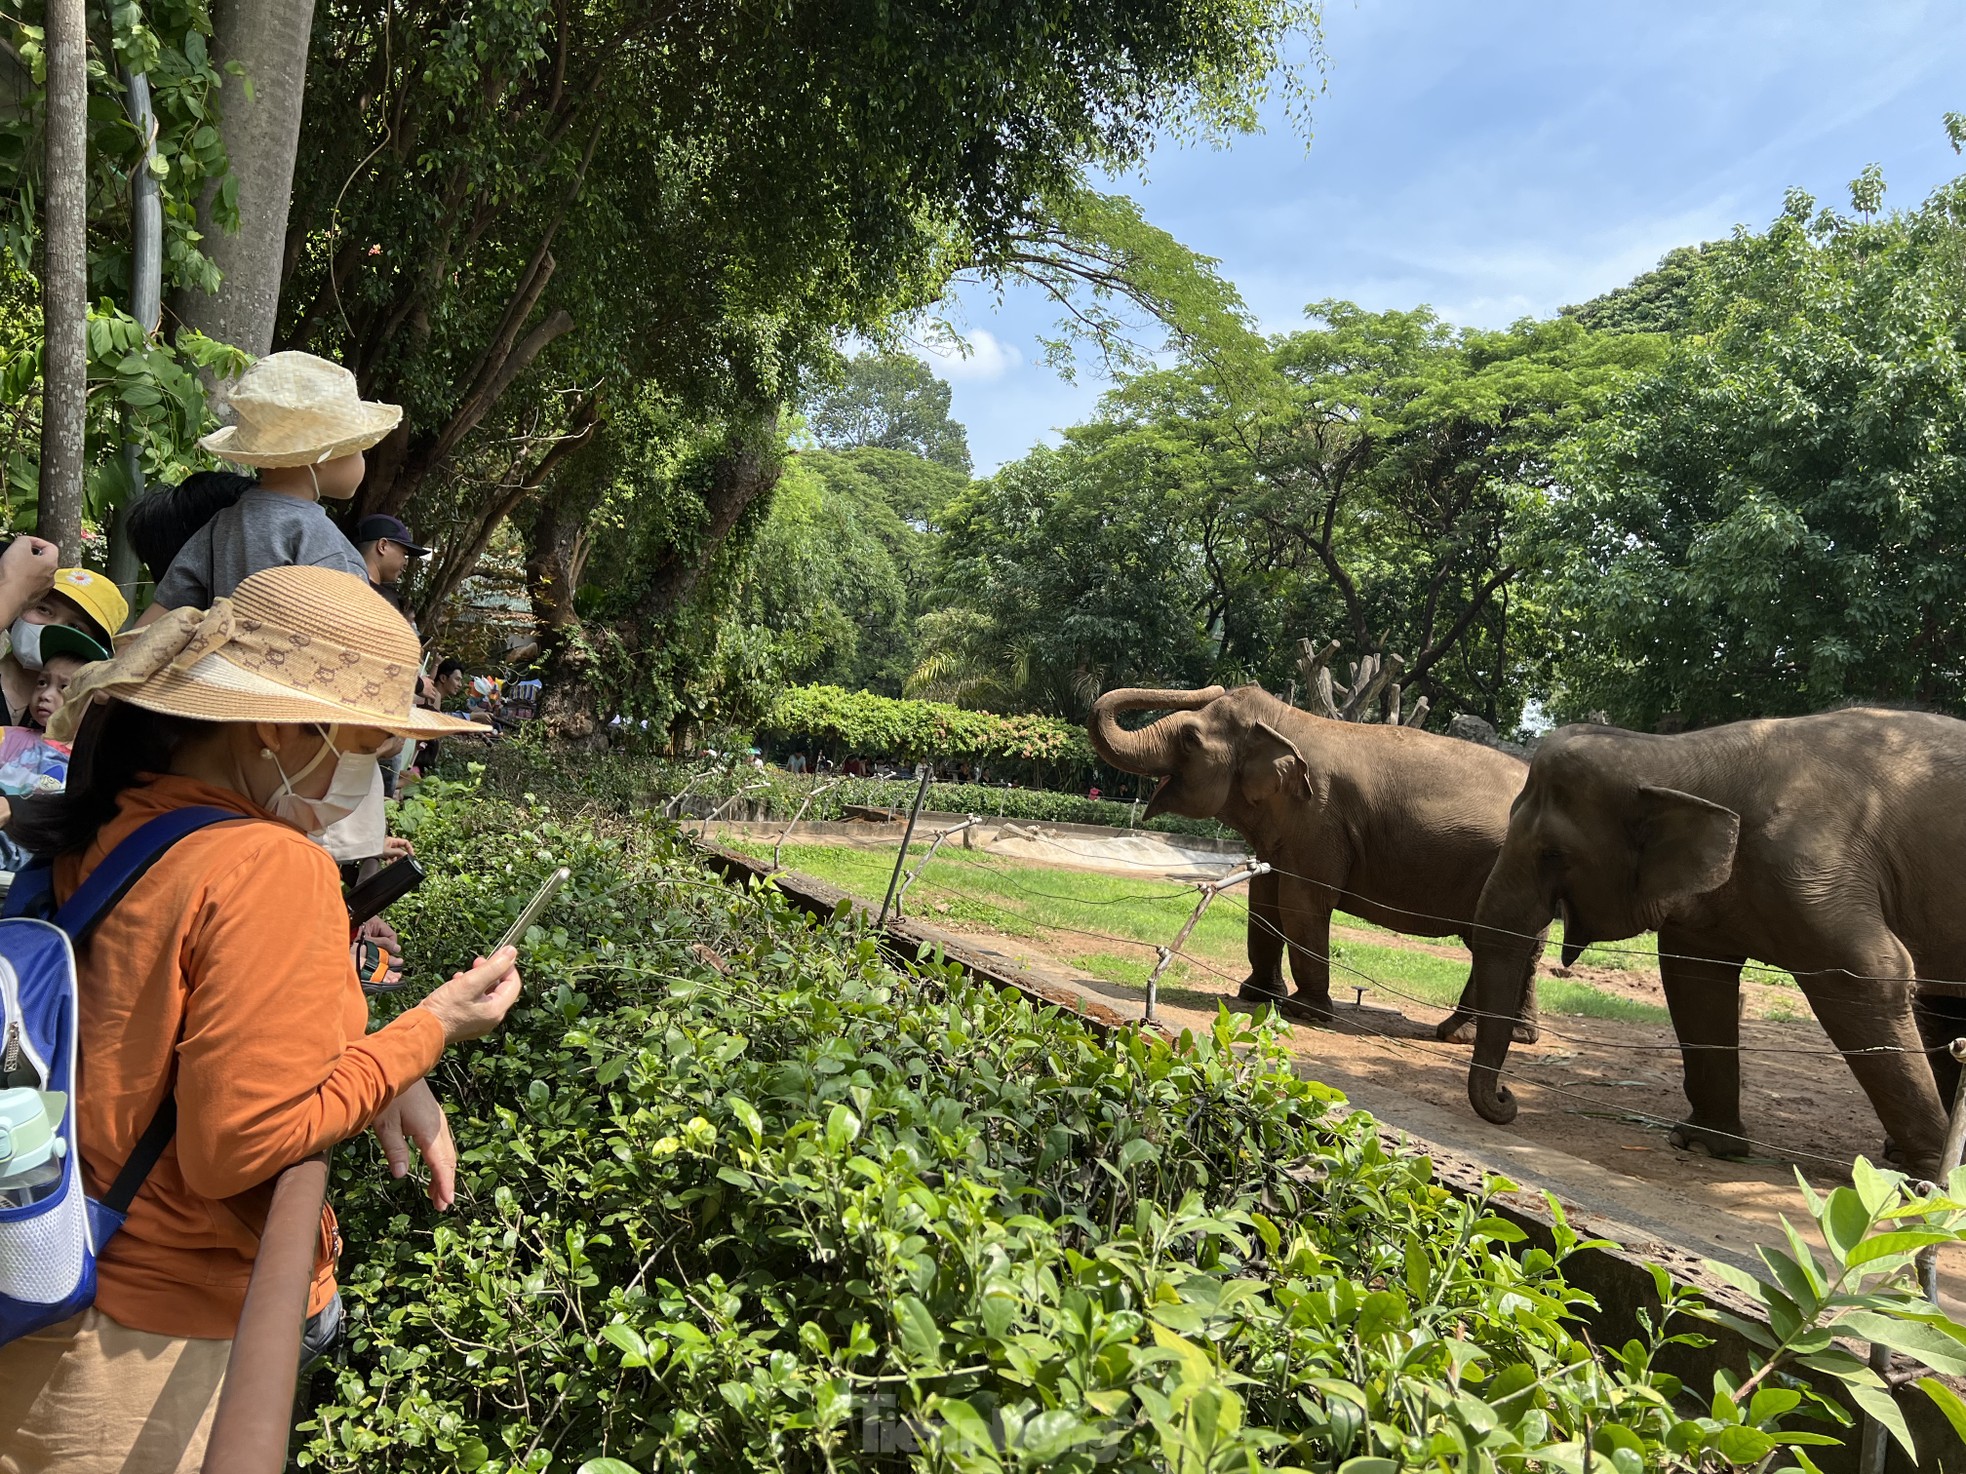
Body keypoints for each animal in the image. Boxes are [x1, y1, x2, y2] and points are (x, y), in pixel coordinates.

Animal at [1093, 683, 1533, 1037]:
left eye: (1188, 738)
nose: (1214, 685)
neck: (1288, 721)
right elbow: (1264, 898)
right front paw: (1256, 995)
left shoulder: (1319, 817)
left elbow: (1300, 902)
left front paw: (1304, 1012)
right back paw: (1518, 1035)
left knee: (1489, 941)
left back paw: (1457, 1034)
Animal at [1462, 711, 1966, 1187]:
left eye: (1553, 854)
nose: (1506, 1100)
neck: (1675, 752)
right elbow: (1694, 980)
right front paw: (1702, 1144)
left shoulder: (1812, 871)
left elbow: (1869, 974)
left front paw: (1924, 1184)